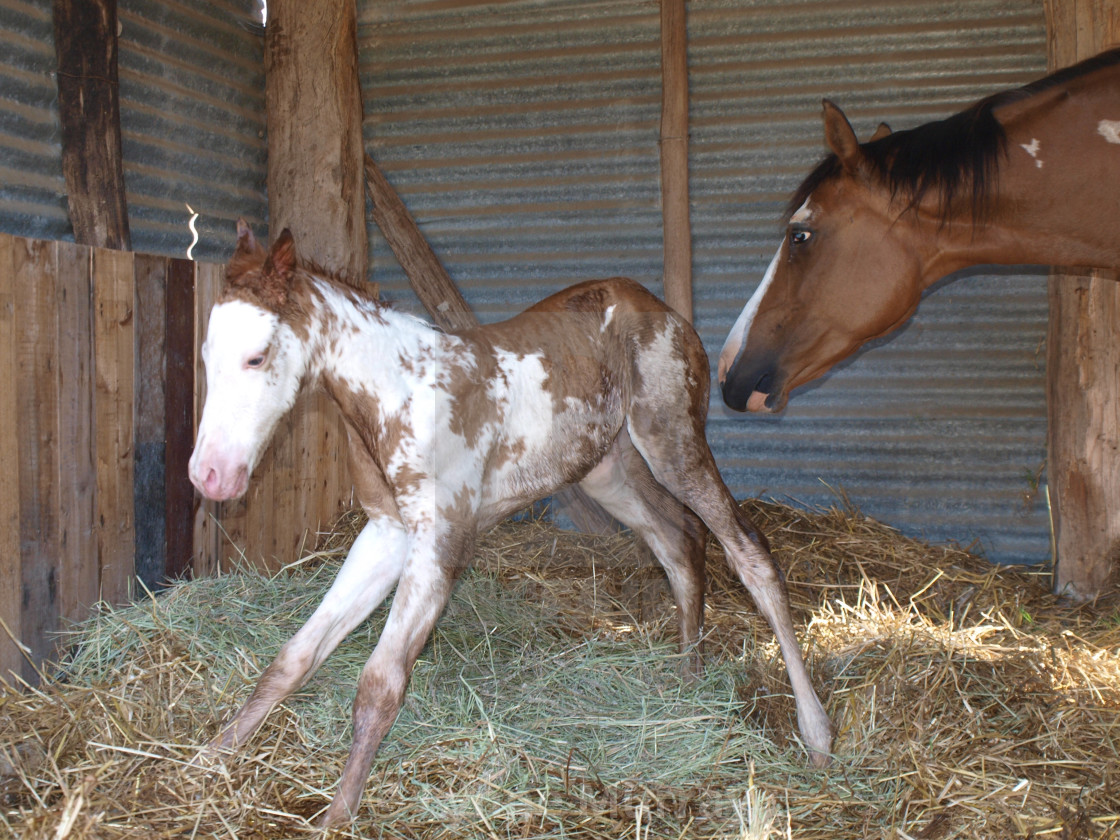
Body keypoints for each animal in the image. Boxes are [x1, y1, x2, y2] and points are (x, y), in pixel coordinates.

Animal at [190, 221, 833, 828]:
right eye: (205, 358)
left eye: (257, 356)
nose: (209, 475)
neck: (399, 391)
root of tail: (662, 310)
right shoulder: (386, 535)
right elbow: (295, 657)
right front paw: (208, 757)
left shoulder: (440, 540)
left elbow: (380, 683)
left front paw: (337, 816)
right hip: (610, 470)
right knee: (679, 541)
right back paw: (689, 680)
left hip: (672, 443)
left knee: (748, 550)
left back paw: (816, 735)